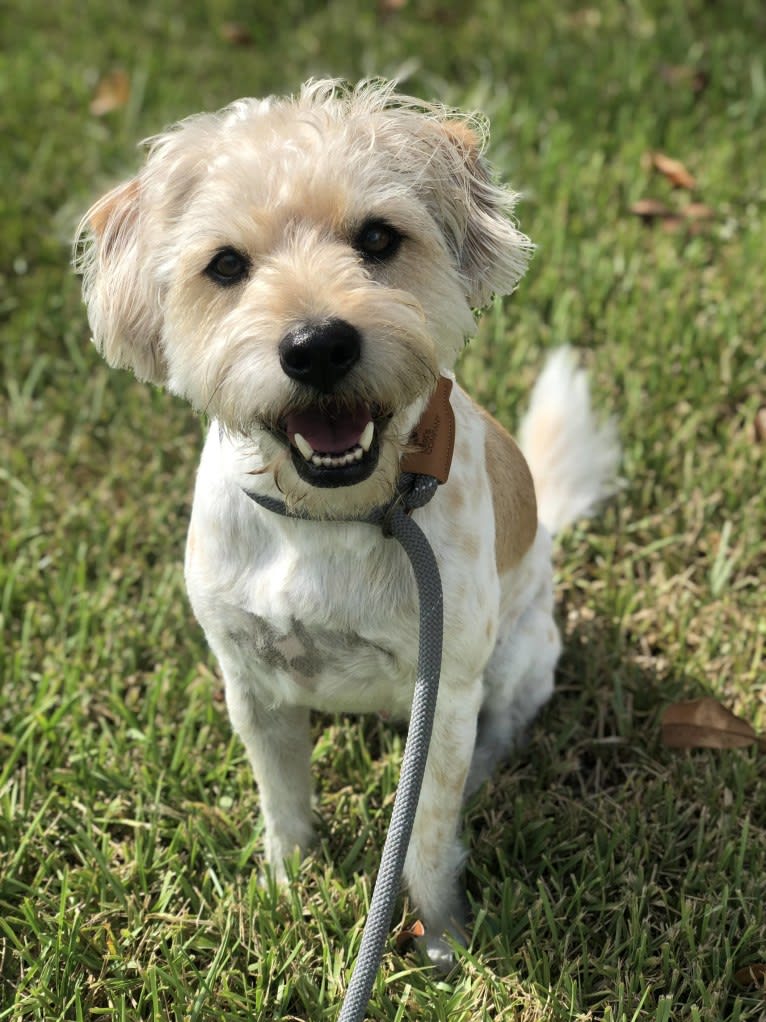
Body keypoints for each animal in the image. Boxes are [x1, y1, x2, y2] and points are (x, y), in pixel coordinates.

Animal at [75, 79, 620, 964]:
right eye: (225, 265)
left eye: (377, 237)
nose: (318, 345)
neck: (329, 520)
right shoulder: (251, 683)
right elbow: (284, 803)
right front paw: (286, 887)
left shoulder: (445, 693)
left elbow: (426, 834)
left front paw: (441, 935)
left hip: (520, 657)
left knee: (504, 727)